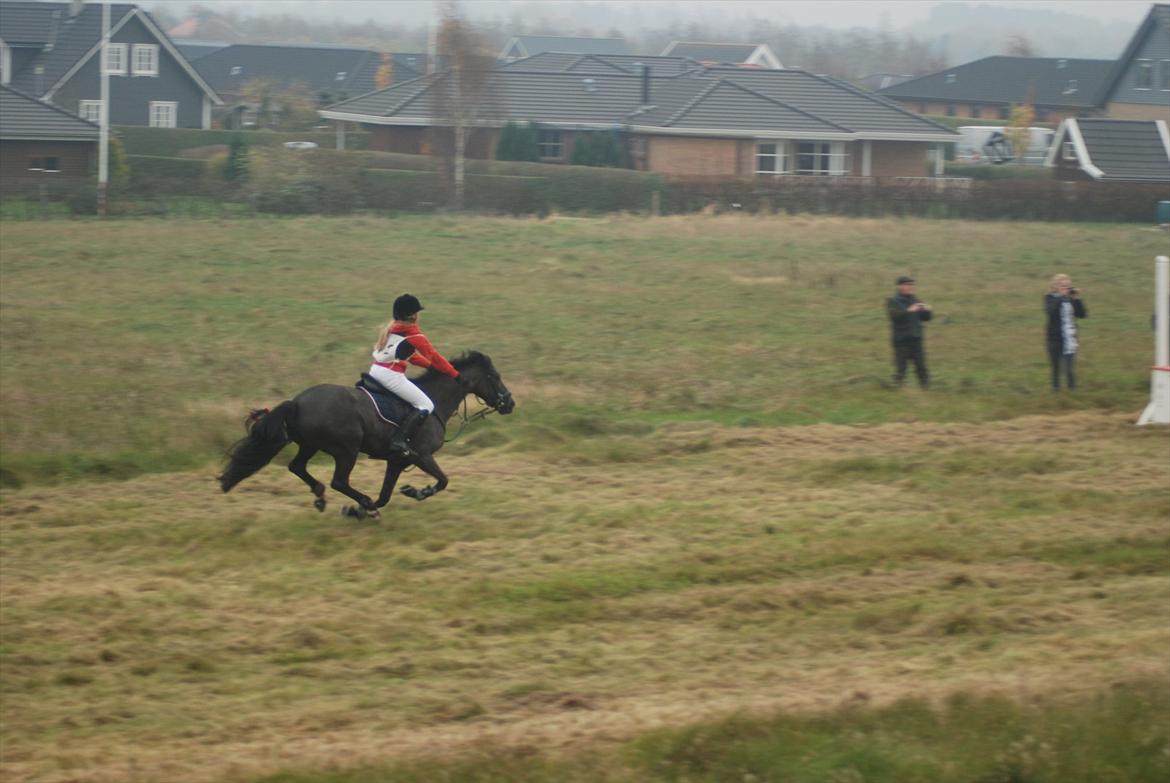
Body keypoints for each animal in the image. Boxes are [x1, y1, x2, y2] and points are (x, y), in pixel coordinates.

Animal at [219, 353, 512, 512]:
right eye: (495, 377)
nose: (510, 403)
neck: (435, 400)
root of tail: (298, 402)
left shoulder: (397, 461)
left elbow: (386, 495)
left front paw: (363, 509)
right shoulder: (421, 456)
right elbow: (442, 481)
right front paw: (418, 492)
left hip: (310, 445)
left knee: (297, 467)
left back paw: (322, 495)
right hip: (346, 450)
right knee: (338, 481)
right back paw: (360, 501)